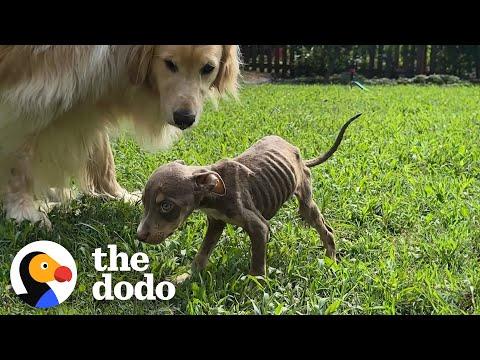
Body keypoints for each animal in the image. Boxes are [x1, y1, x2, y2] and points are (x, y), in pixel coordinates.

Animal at [137, 114, 362, 274]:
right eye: (143, 202)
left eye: (166, 206)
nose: (139, 236)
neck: (214, 193)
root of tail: (296, 151)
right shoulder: (216, 222)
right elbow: (203, 252)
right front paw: (188, 276)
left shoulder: (259, 227)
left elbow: (257, 267)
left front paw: (255, 291)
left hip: (306, 200)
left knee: (326, 230)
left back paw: (331, 260)